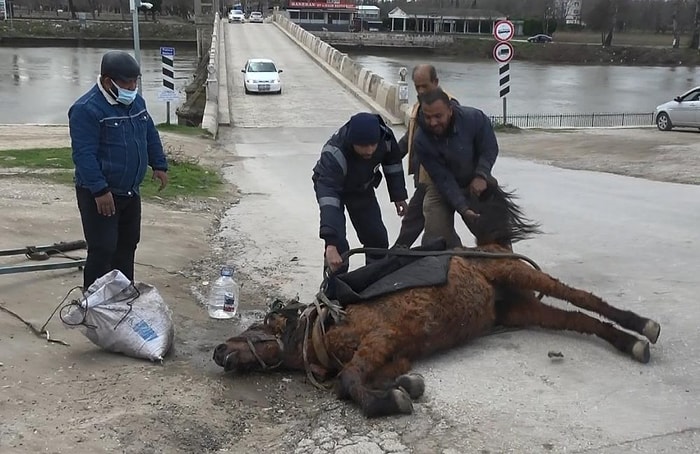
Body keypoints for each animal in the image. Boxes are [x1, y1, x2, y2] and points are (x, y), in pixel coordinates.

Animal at [211, 183, 660, 416]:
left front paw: (392, 400)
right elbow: (359, 378)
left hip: (518, 273)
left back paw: (641, 326)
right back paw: (630, 343)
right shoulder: (394, 354)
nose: (218, 351)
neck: (326, 326)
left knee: (584, 299)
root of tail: (491, 245)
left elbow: (348, 382)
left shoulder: (381, 338)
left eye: (257, 327)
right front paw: (405, 386)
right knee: (582, 322)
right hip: (522, 308)